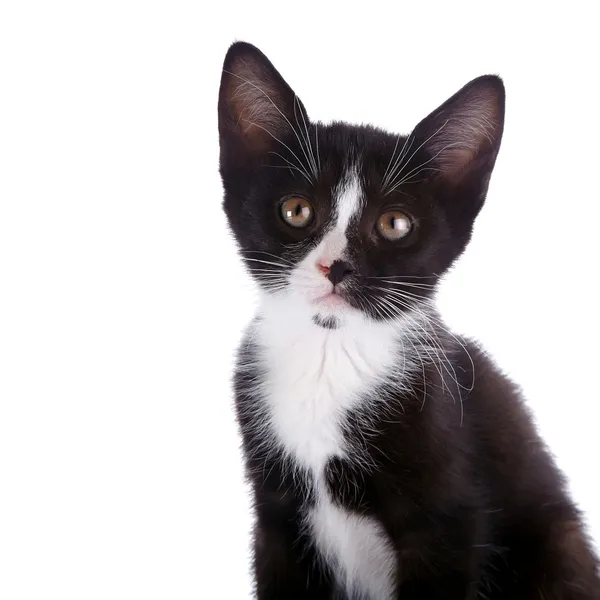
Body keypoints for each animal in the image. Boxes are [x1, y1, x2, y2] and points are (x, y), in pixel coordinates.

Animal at [217, 42, 600, 600]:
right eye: (296, 210)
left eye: (395, 224)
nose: (337, 266)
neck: (330, 355)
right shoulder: (277, 518)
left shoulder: (447, 520)